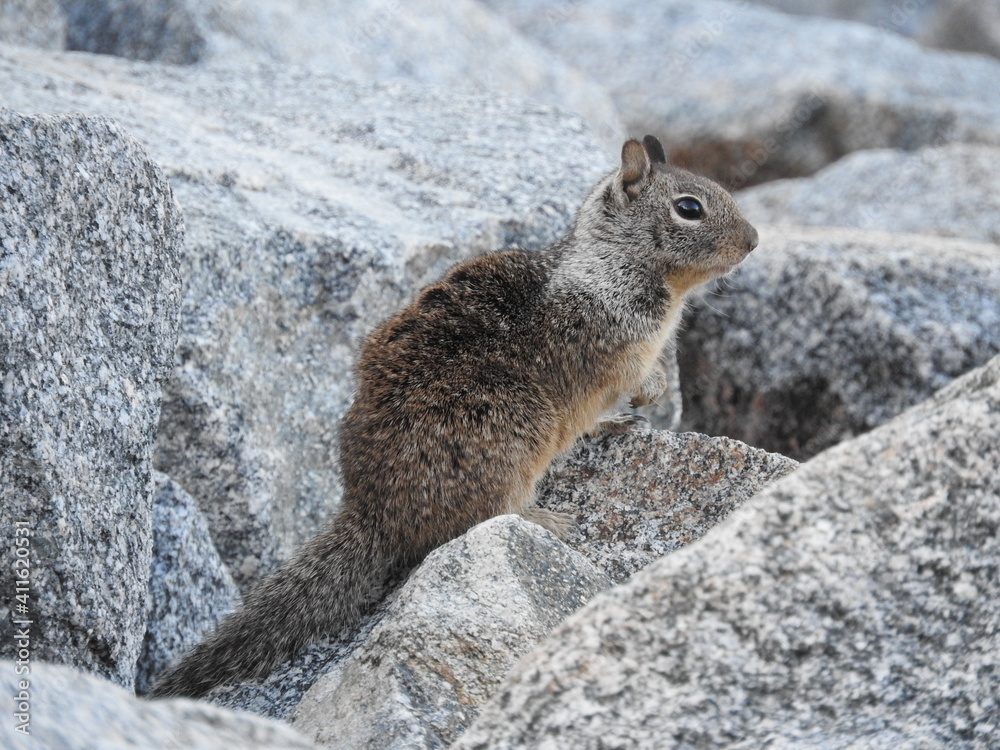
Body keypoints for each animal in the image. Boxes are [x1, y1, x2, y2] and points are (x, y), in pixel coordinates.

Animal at [149, 135, 758, 699]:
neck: (616, 263)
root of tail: (372, 511)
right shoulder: (611, 349)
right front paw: (649, 395)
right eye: (689, 207)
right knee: (477, 520)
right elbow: (630, 380)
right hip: (511, 434)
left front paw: (620, 422)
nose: (754, 241)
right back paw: (544, 520)